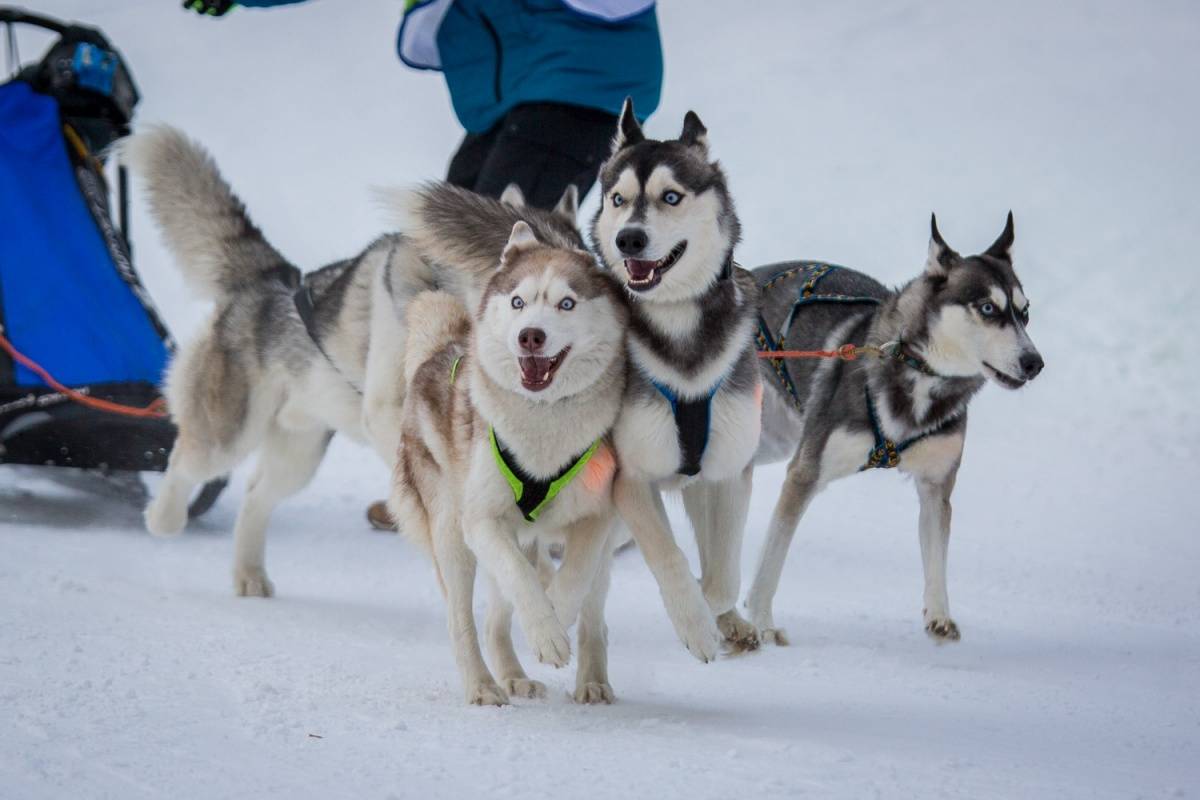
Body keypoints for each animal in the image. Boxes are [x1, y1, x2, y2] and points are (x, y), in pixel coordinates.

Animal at [129, 128, 578, 597]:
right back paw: (162, 518)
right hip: (226, 438)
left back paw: (249, 574)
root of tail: (270, 279)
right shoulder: (391, 414)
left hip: (298, 456)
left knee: (254, 495)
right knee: (183, 462)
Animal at [391, 211, 628, 700]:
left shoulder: (598, 516)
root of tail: (440, 350)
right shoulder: (482, 519)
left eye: (567, 304)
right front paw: (546, 631)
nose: (530, 336)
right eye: (518, 301)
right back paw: (483, 685)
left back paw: (571, 678)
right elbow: (519, 576)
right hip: (451, 533)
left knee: (575, 609)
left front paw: (557, 617)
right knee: (465, 618)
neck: (543, 423)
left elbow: (575, 574)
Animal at [588, 101, 758, 662]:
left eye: (671, 196)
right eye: (618, 199)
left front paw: (715, 613)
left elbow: (723, 577)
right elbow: (668, 556)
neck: (680, 325)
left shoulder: (728, 472)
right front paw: (694, 623)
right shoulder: (632, 478)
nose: (629, 238)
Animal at [744, 214, 1046, 642]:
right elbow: (772, 559)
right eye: (988, 308)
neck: (920, 377)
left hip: (772, 439)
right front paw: (762, 622)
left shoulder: (936, 485)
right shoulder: (804, 473)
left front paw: (939, 614)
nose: (1034, 362)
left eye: (1025, 312)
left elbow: (936, 555)